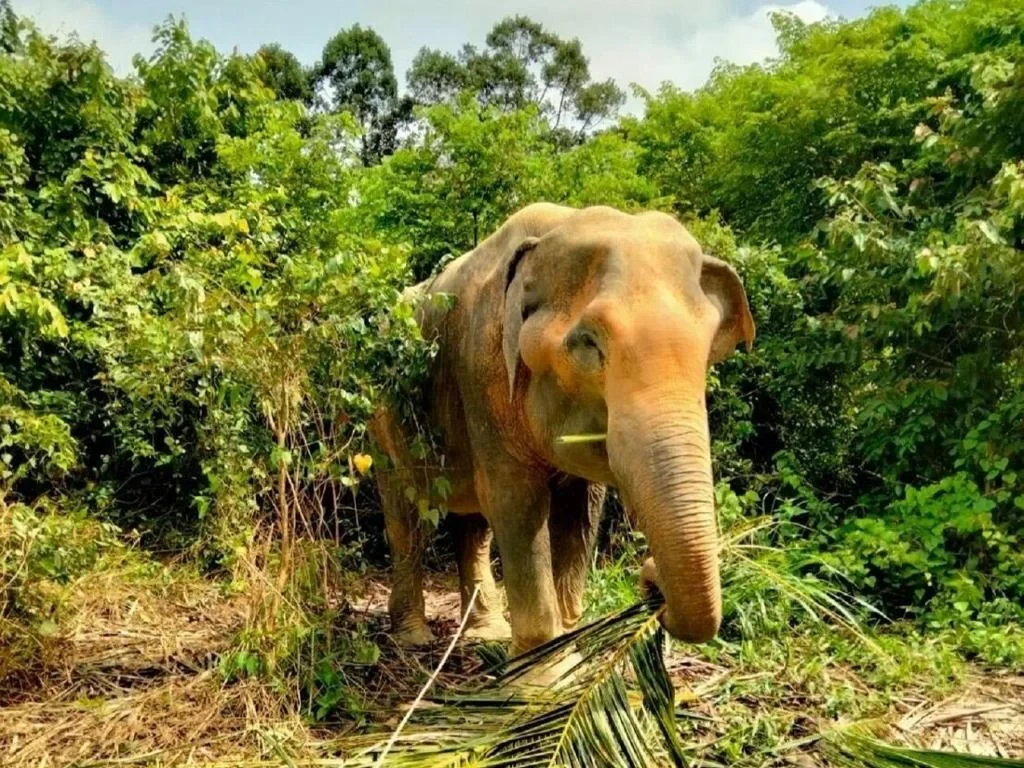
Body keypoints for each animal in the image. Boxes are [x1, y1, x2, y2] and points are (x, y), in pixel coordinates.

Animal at [369, 203, 755, 657]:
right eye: (588, 342)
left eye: (710, 345)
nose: (649, 578)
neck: (556, 228)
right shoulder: (481, 369)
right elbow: (515, 498)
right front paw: (541, 668)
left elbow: (581, 511)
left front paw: (567, 653)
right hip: (381, 421)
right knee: (405, 515)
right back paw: (414, 638)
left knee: (474, 521)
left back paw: (486, 633)